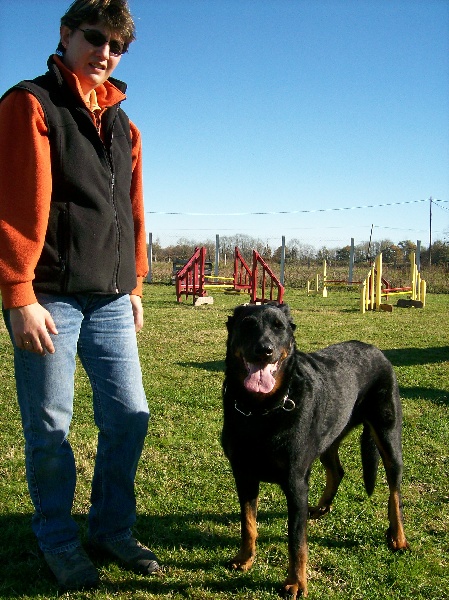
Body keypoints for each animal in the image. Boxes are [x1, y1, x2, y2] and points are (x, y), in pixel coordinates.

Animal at [221, 302, 410, 596]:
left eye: (279, 327)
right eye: (248, 324)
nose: (265, 350)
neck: (261, 411)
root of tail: (375, 349)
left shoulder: (296, 482)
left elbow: (296, 539)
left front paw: (296, 582)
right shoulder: (244, 475)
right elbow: (248, 523)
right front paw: (245, 558)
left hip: (388, 437)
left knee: (395, 493)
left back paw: (398, 537)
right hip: (328, 436)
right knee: (337, 470)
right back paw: (321, 507)